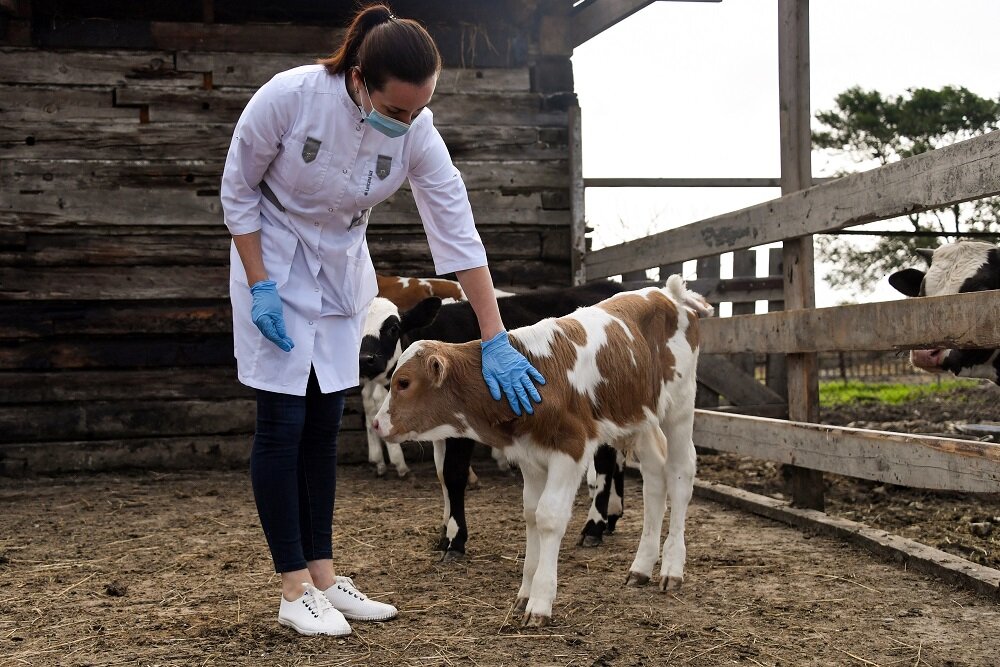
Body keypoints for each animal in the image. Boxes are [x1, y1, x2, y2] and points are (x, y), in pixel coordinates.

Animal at [364, 282, 636, 560]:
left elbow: (453, 474)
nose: (365, 359)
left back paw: (594, 526)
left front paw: (455, 540)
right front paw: (443, 535)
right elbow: (441, 474)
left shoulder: (463, 428)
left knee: (605, 462)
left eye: (393, 328)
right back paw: (612, 516)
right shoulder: (440, 430)